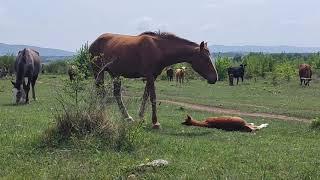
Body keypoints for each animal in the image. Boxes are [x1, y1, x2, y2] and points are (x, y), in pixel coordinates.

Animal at [90, 31, 220, 129]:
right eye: (205, 59)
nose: (215, 78)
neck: (159, 48)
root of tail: (94, 42)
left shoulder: (152, 77)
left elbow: (145, 96)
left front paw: (141, 117)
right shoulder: (150, 76)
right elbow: (153, 97)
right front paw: (155, 122)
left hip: (115, 74)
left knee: (116, 94)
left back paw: (127, 117)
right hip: (98, 72)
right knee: (100, 92)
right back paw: (102, 112)